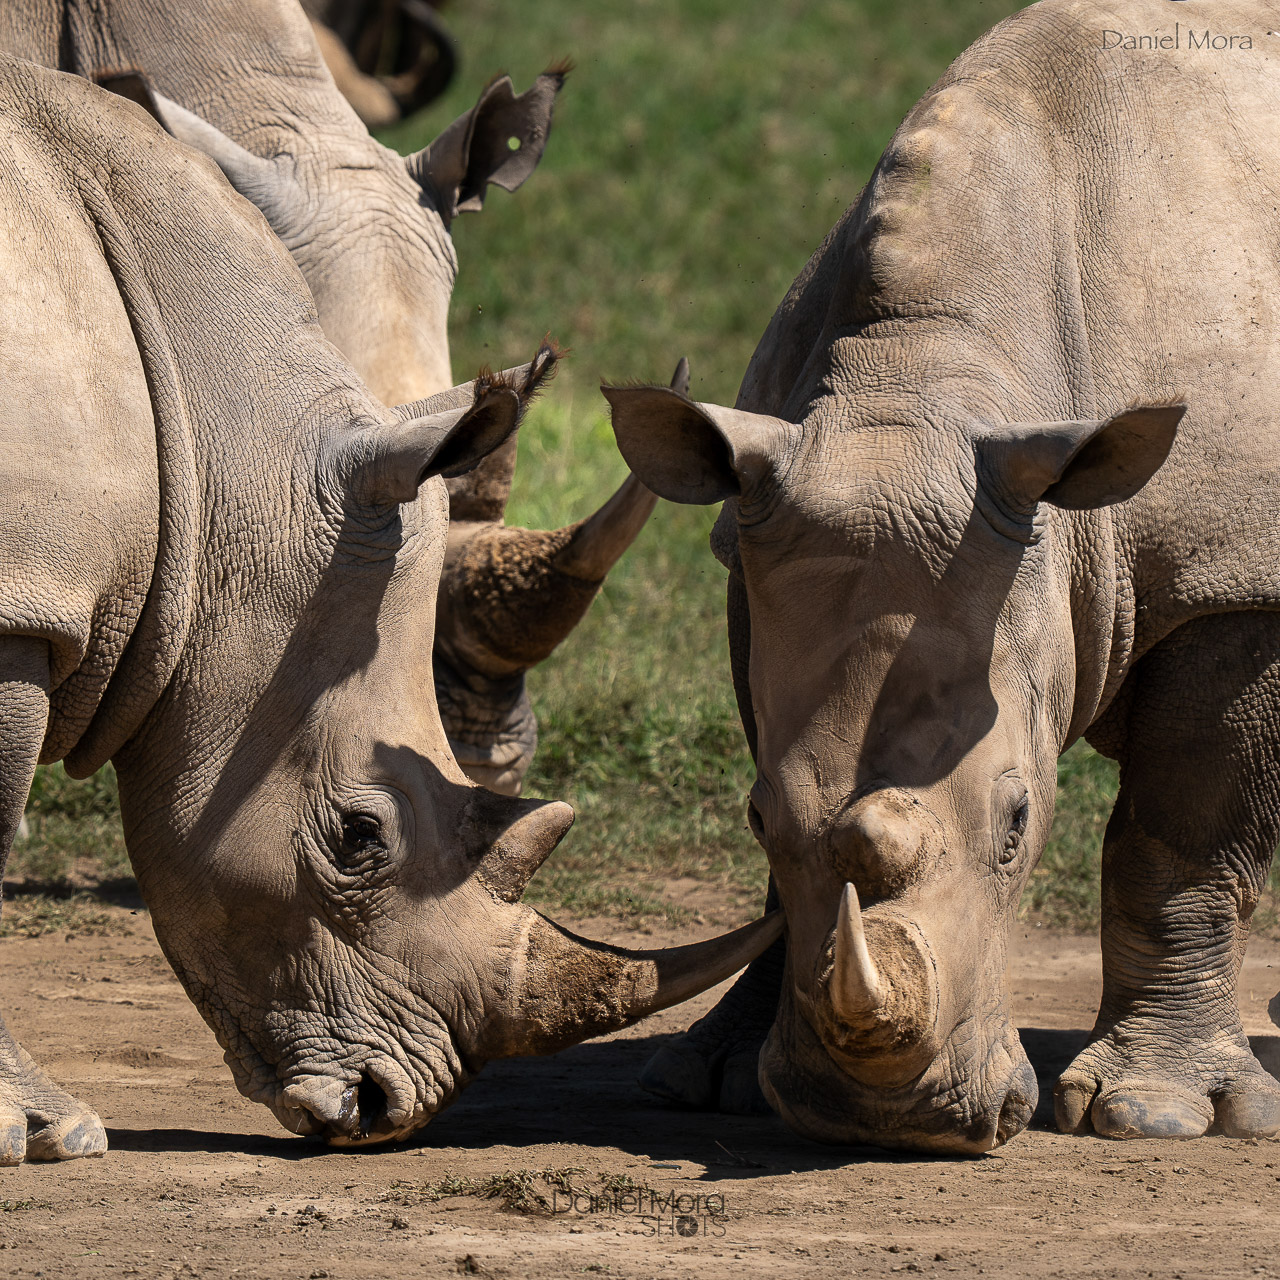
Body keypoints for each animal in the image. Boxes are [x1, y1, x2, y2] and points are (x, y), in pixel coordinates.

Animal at [606, 0, 1280, 1152]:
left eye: (1017, 825)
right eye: (751, 816)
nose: (891, 1124)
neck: (924, 374)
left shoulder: (1233, 576)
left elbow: (1181, 838)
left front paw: (1153, 1114)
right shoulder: (756, 532)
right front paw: (717, 1077)